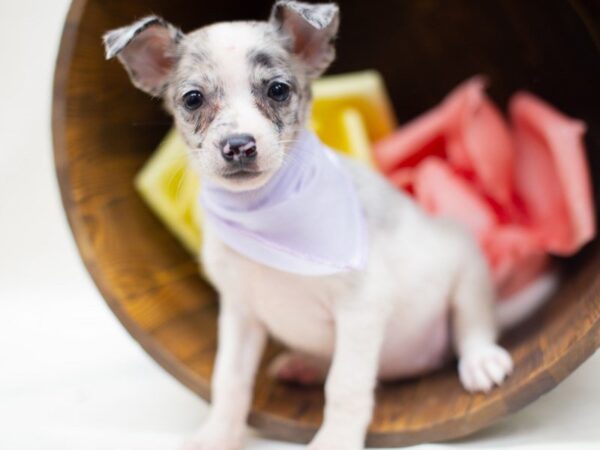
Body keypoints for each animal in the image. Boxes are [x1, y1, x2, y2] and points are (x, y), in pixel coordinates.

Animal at [104, 1, 548, 448]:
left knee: (474, 324)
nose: (239, 146)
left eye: (278, 90)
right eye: (193, 99)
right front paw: (216, 435)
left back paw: (480, 360)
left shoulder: (361, 307)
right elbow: (229, 379)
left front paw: (335, 440)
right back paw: (305, 365)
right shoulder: (239, 314)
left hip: (468, 271)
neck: (262, 212)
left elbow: (345, 386)